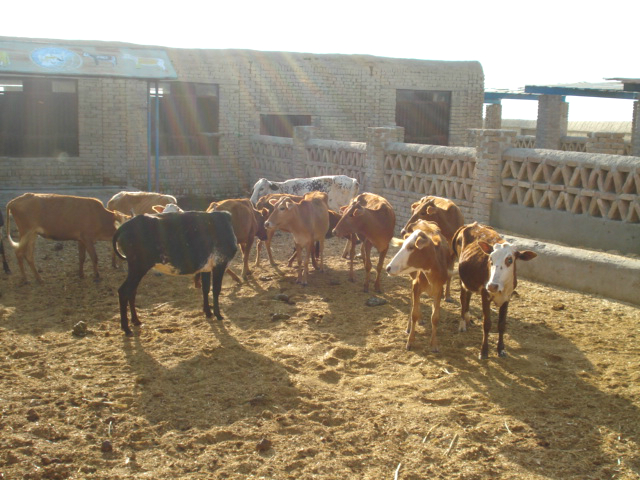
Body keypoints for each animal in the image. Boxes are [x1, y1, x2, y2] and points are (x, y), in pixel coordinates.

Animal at [384, 219, 456, 350]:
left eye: (411, 247)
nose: (388, 268)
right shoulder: (416, 286)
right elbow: (414, 313)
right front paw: (410, 341)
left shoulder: (439, 290)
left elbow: (435, 317)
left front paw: (434, 344)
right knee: (413, 304)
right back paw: (409, 326)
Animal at [452, 223, 536, 358]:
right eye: (490, 259)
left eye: (510, 260)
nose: (492, 286)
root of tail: (471, 224)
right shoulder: (485, 295)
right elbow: (487, 324)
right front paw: (484, 351)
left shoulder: (507, 298)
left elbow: (501, 325)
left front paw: (501, 349)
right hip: (462, 278)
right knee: (463, 298)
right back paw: (462, 324)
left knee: (468, 295)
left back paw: (468, 319)